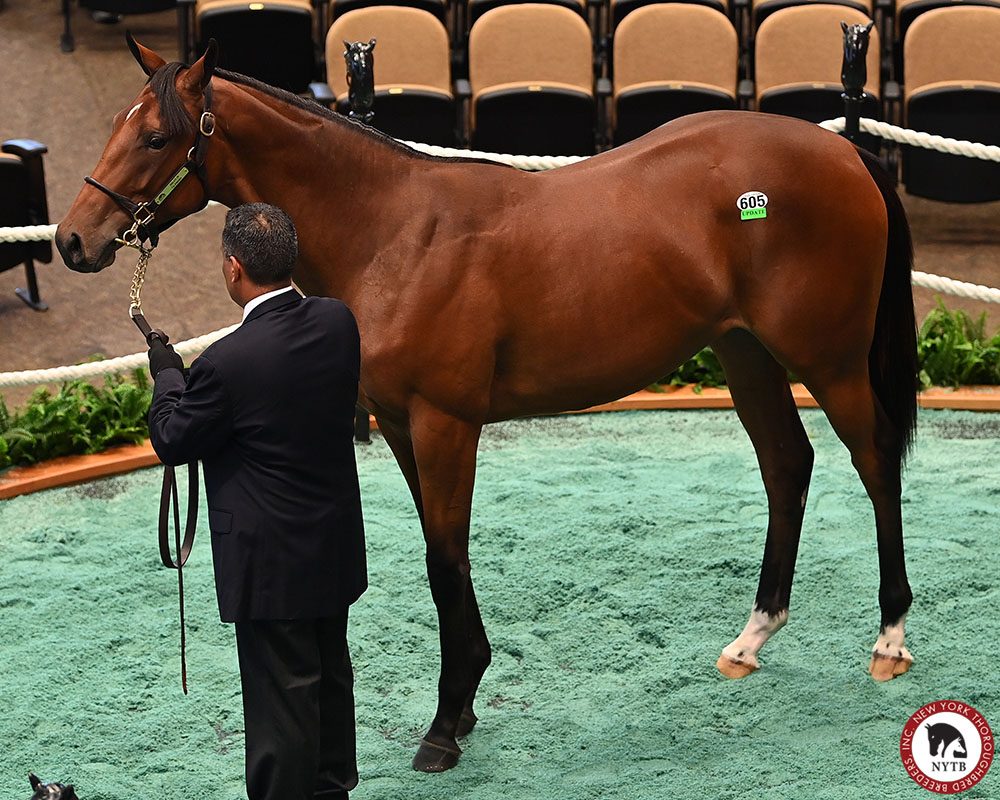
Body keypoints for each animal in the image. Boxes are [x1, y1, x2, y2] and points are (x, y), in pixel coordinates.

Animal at [56, 38, 919, 773]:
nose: (71, 240)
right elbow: (448, 554)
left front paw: (444, 726)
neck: (393, 232)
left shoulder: (445, 422)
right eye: (118, 127)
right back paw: (751, 639)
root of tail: (846, 150)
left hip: (830, 360)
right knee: (787, 465)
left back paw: (890, 638)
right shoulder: (400, 424)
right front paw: (464, 704)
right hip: (745, 353)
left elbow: (443, 561)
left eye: (156, 138)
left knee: (876, 464)